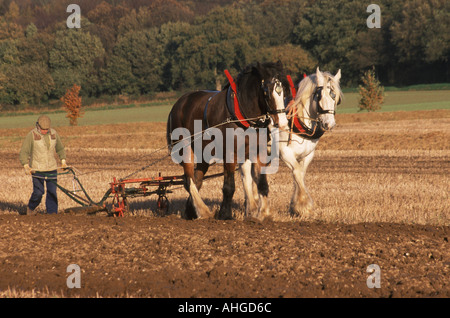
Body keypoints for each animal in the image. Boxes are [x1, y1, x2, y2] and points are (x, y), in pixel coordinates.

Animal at [167, 62, 290, 221]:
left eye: (285, 91)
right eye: (267, 92)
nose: (282, 123)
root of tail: (178, 104)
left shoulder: (259, 152)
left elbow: (262, 184)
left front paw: (263, 214)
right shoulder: (230, 154)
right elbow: (229, 186)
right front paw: (225, 214)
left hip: (203, 154)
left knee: (197, 179)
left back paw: (192, 211)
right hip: (185, 148)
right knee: (189, 181)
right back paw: (203, 211)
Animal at [241, 66, 342, 221]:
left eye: (334, 97)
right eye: (320, 95)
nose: (329, 124)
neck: (298, 120)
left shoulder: (307, 155)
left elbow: (300, 175)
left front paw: (295, 207)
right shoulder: (285, 153)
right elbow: (297, 173)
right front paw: (303, 206)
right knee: (245, 175)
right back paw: (251, 208)